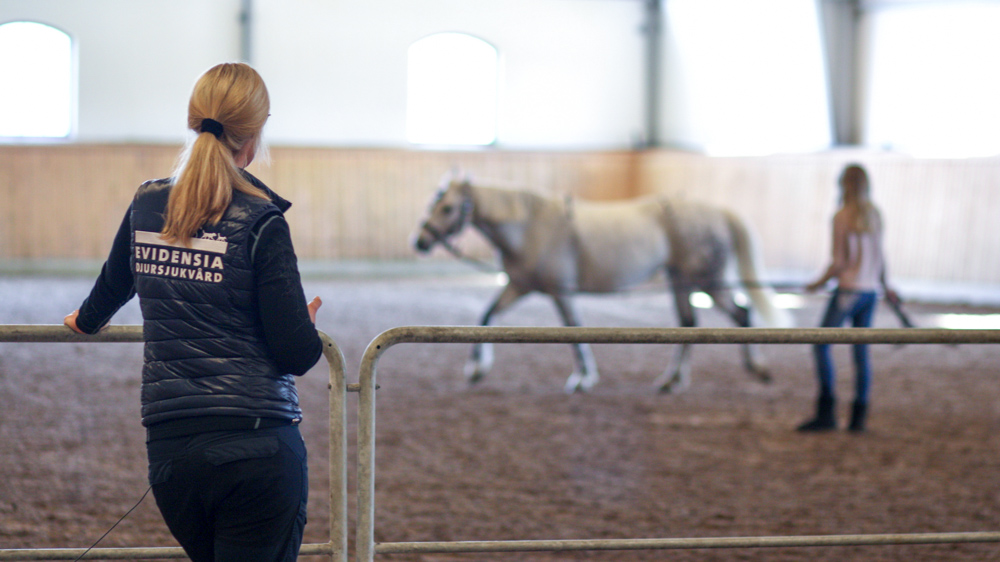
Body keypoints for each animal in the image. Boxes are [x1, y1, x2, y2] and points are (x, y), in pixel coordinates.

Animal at [414, 173, 788, 392]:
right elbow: (487, 316)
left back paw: (757, 369)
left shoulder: (560, 292)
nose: (419, 242)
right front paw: (476, 370)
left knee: (739, 314)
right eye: (433, 203)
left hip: (707, 281)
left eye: (447, 208)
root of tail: (718, 212)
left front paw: (583, 378)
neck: (531, 227)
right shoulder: (519, 286)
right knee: (690, 323)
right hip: (681, 281)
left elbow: (573, 329)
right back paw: (673, 380)